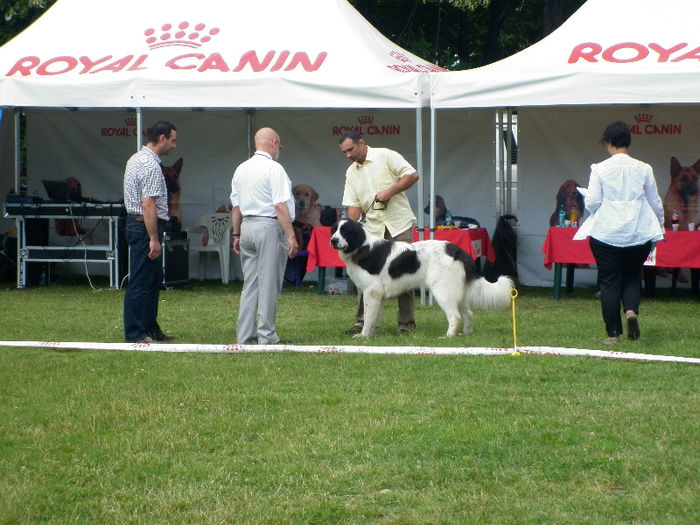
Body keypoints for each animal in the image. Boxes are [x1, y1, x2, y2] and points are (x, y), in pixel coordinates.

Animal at [328, 219, 516, 338]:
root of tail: (458, 251)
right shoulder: (377, 296)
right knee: (468, 314)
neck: (361, 247)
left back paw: (448, 336)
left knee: (455, 315)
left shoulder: (371, 292)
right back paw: (466, 334)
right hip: (457, 292)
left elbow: (368, 317)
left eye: (345, 231)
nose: (333, 240)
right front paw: (371, 335)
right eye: (334, 230)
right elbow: (374, 317)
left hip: (442, 290)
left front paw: (364, 336)